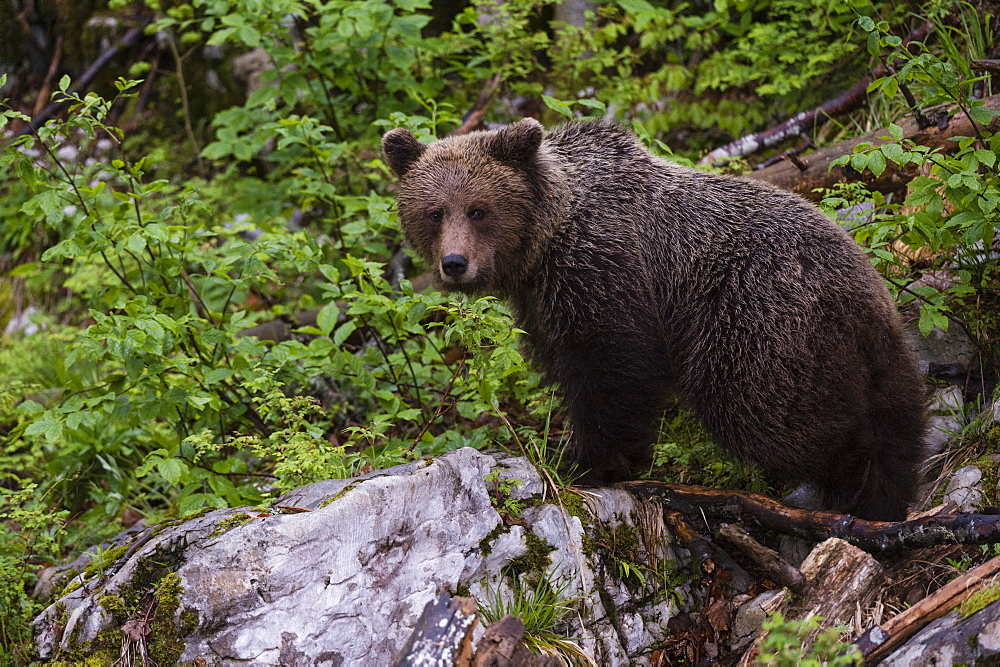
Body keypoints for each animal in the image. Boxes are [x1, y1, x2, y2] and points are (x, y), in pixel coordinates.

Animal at [384, 117, 928, 520]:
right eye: (434, 212)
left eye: (478, 209)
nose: (455, 264)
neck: (545, 241)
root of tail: (859, 285)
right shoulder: (543, 301)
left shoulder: (603, 271)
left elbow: (612, 370)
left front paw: (587, 462)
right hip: (861, 343)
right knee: (898, 411)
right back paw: (885, 497)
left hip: (754, 321)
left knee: (763, 409)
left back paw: (844, 480)